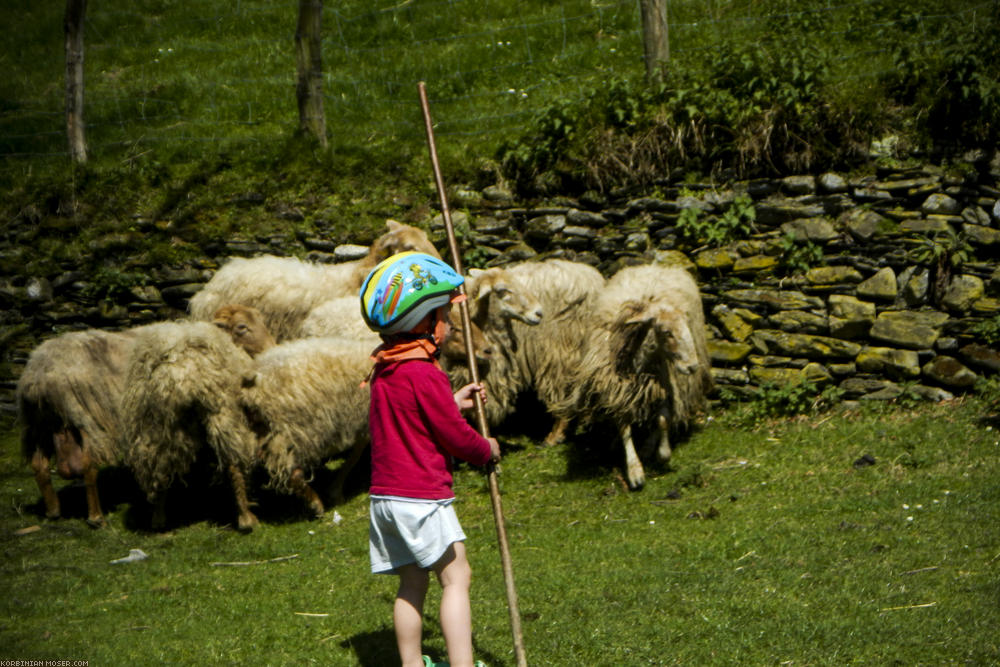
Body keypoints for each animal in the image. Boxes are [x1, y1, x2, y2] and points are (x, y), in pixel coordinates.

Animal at [16, 328, 141, 528]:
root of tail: (40, 375)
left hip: (38, 425)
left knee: (39, 465)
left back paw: (53, 511)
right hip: (86, 418)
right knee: (88, 466)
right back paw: (96, 518)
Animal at [560, 264, 716, 490]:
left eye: (686, 327)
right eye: (666, 332)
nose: (692, 366)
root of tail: (655, 266)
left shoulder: (664, 386)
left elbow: (663, 420)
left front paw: (662, 452)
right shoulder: (618, 391)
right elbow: (625, 428)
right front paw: (635, 471)